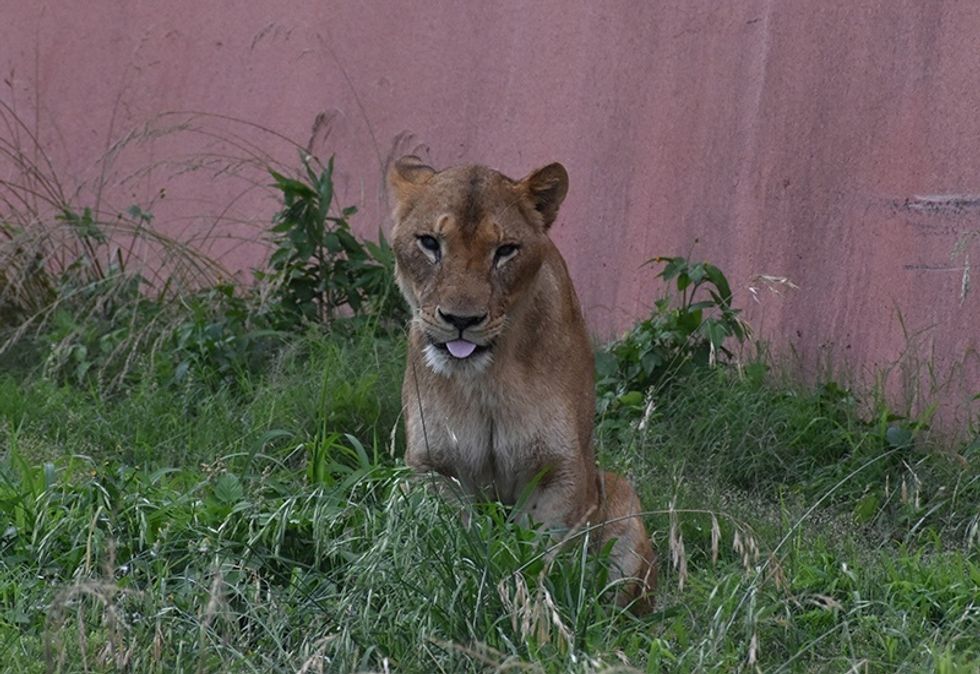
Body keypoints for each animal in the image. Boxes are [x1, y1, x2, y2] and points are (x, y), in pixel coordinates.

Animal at [388, 155, 656, 612]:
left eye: (505, 250)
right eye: (430, 243)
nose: (461, 320)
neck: (487, 380)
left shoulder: (562, 472)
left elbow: (536, 556)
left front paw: (528, 603)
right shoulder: (432, 468)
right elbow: (451, 541)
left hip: (619, 497)